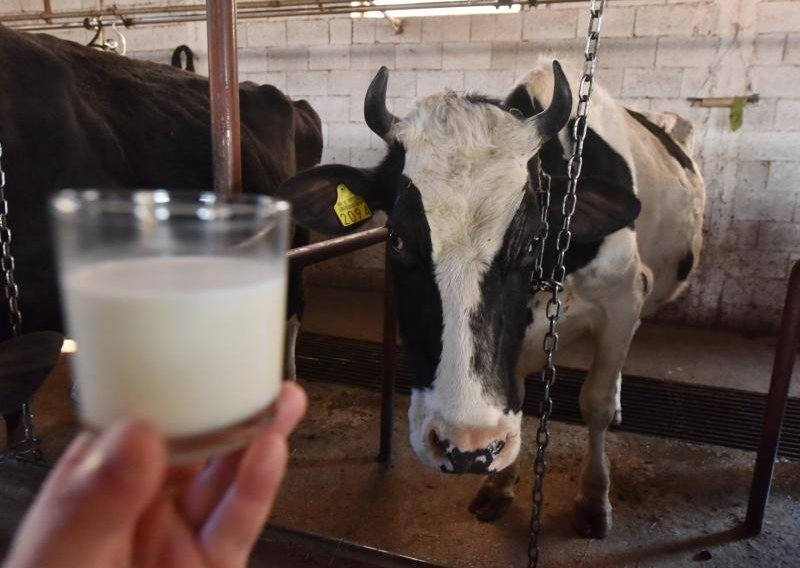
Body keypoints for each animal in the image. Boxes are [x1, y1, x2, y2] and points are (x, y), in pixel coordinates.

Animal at [278, 60, 704, 540]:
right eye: (396, 238)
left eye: (533, 239)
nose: (465, 448)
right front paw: (499, 485)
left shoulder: (623, 298)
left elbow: (593, 402)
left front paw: (594, 498)